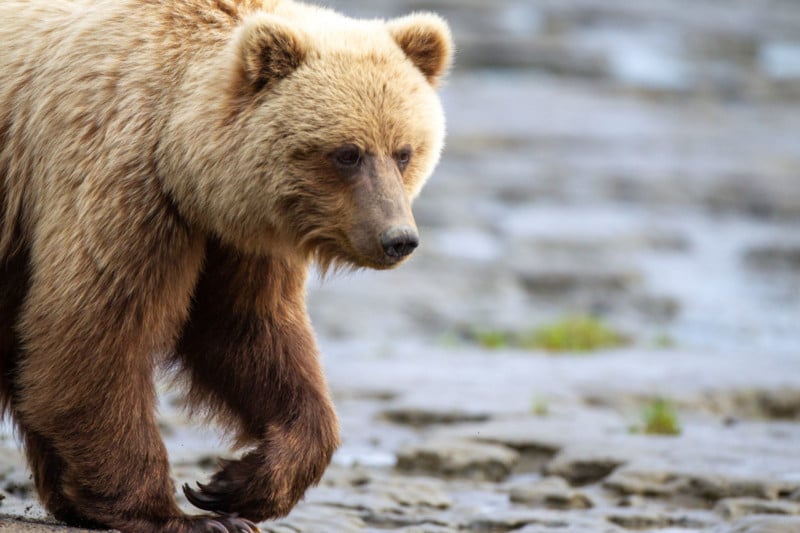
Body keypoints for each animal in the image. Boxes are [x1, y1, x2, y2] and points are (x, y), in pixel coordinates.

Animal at [0, 1, 454, 528]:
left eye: (404, 151)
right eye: (347, 153)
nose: (398, 238)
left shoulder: (239, 238)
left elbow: (246, 331)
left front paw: (236, 486)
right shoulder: (119, 180)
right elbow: (94, 331)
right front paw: (179, 514)